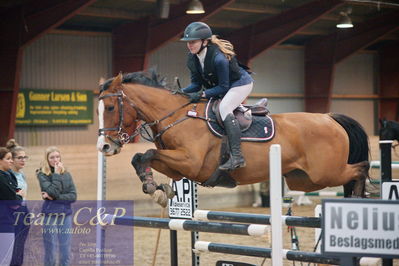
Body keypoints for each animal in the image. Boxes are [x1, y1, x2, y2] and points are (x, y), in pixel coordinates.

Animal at [97, 69, 372, 207]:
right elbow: (140, 157)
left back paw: (358, 198)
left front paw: (155, 189)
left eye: (109, 108)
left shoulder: (191, 163)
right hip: (303, 180)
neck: (178, 115)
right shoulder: (178, 167)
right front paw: (158, 189)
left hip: (325, 173)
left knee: (360, 168)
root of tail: (330, 118)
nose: (104, 146)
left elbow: (148, 153)